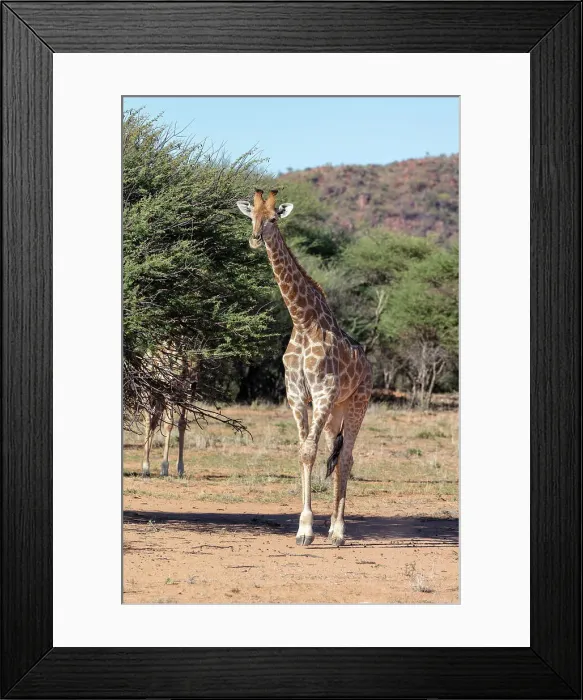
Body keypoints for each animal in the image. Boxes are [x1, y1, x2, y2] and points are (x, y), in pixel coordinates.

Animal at [237, 189, 372, 546]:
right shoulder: (296, 394)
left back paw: (338, 532)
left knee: (347, 457)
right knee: (335, 453)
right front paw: (304, 528)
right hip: (336, 412)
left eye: (274, 219)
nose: (255, 239)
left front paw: (308, 529)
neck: (303, 321)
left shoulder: (322, 391)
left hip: (357, 403)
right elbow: (303, 451)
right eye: (251, 216)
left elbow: (310, 451)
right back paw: (332, 528)